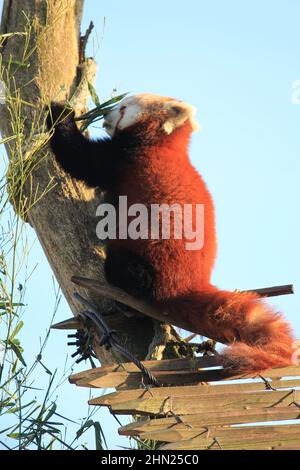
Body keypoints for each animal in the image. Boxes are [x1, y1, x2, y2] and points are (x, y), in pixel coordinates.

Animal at [48, 93, 294, 372]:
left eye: (122, 107)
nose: (104, 116)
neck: (163, 145)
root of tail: (189, 285)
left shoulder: (123, 159)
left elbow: (79, 158)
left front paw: (59, 114)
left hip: (153, 264)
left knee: (125, 269)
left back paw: (128, 303)